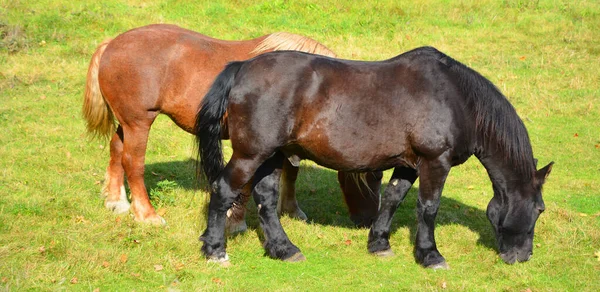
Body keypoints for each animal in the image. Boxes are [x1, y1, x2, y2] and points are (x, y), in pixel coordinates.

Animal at [81, 24, 380, 227]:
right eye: (373, 177)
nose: (367, 221)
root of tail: (112, 43)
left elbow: (291, 173)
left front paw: (291, 210)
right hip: (139, 123)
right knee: (133, 163)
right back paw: (146, 215)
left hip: (127, 123)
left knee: (116, 150)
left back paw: (116, 202)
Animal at [193, 46, 552, 268]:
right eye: (539, 209)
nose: (522, 257)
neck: (457, 99)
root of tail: (242, 68)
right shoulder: (435, 162)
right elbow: (429, 207)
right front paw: (430, 255)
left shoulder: (409, 164)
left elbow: (393, 199)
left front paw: (379, 244)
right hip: (251, 154)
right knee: (224, 190)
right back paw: (215, 251)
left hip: (272, 155)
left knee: (266, 199)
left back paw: (284, 250)